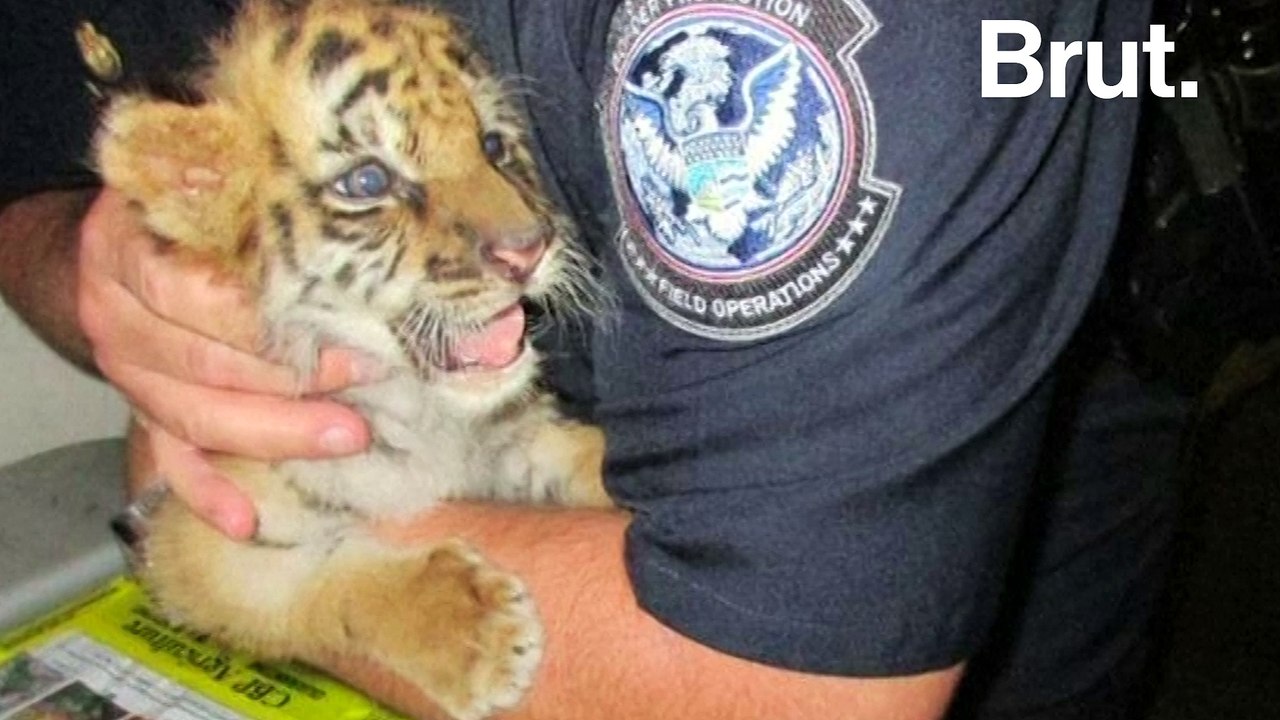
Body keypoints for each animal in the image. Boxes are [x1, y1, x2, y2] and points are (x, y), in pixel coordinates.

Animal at [89, 1, 611, 718]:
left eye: (492, 146)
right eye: (369, 181)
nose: (530, 248)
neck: (421, 413)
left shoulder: (510, 440)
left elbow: (581, 454)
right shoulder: (201, 537)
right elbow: (323, 586)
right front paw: (474, 632)